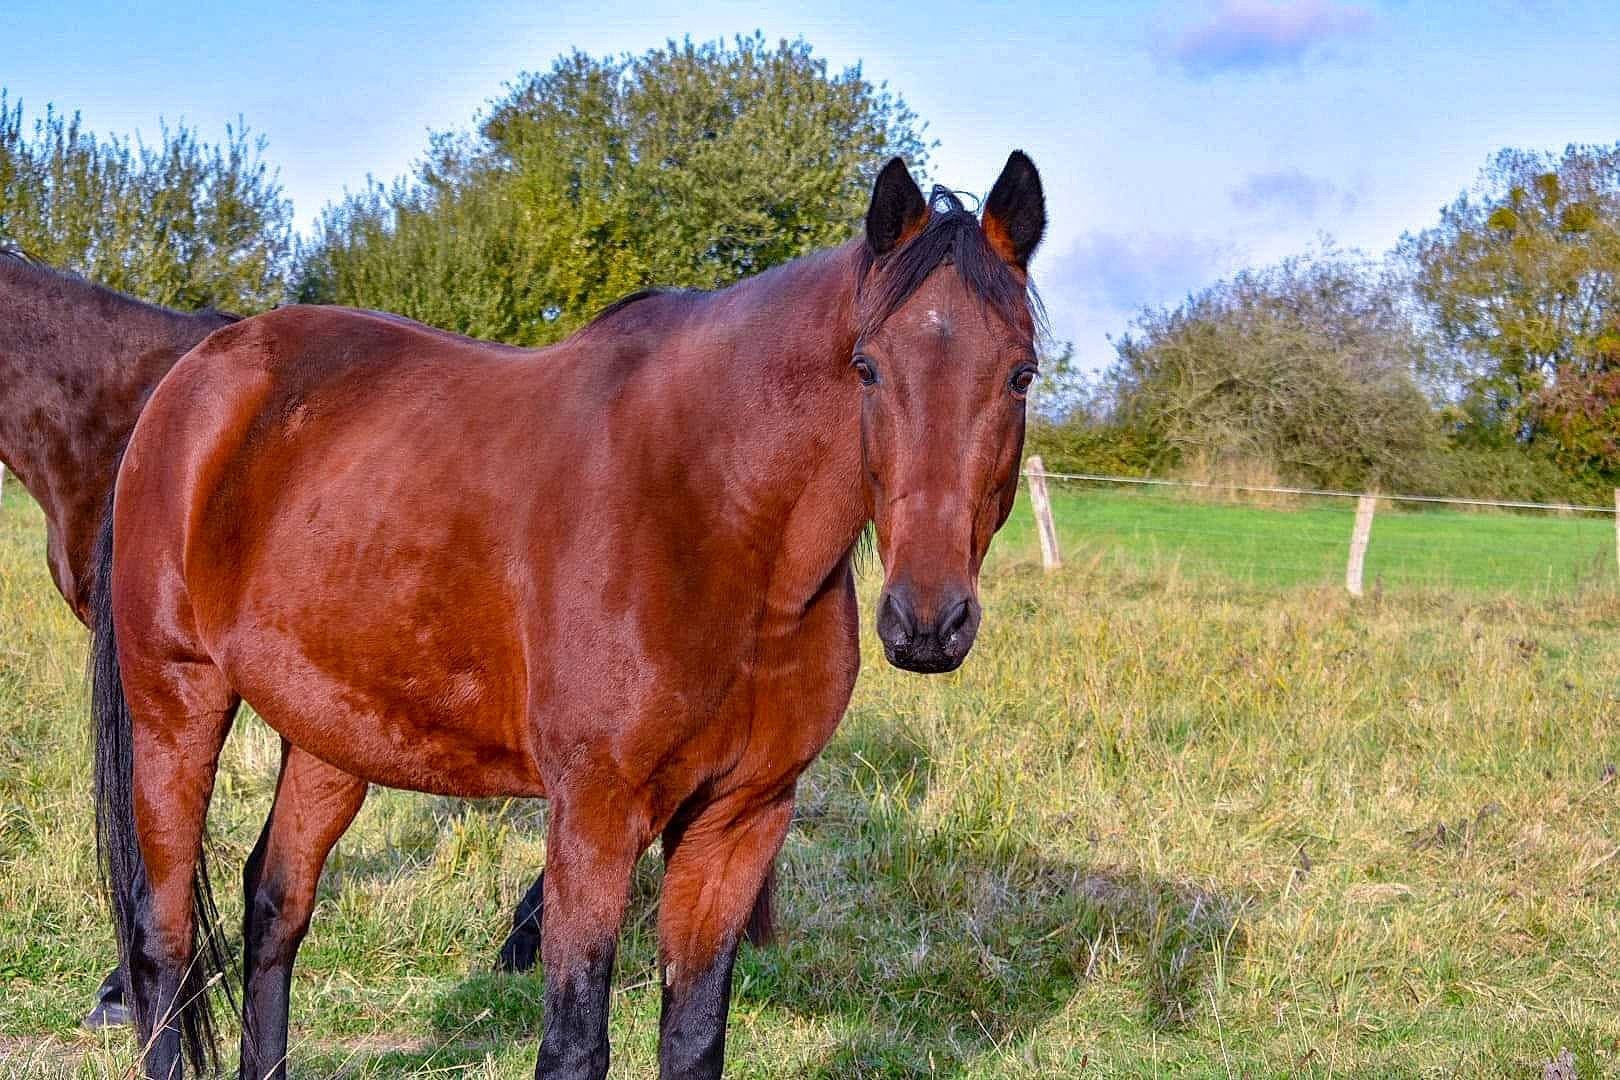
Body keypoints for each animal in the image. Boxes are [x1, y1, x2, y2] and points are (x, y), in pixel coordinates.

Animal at [91, 151, 1046, 1079]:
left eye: (1020, 374)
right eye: (867, 366)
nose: (928, 621)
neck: (711, 518)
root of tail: (194, 379)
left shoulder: (740, 821)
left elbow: (694, 1040)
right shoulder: (594, 816)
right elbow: (576, 1044)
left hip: (331, 733)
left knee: (274, 911)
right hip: (177, 703)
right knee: (162, 937)